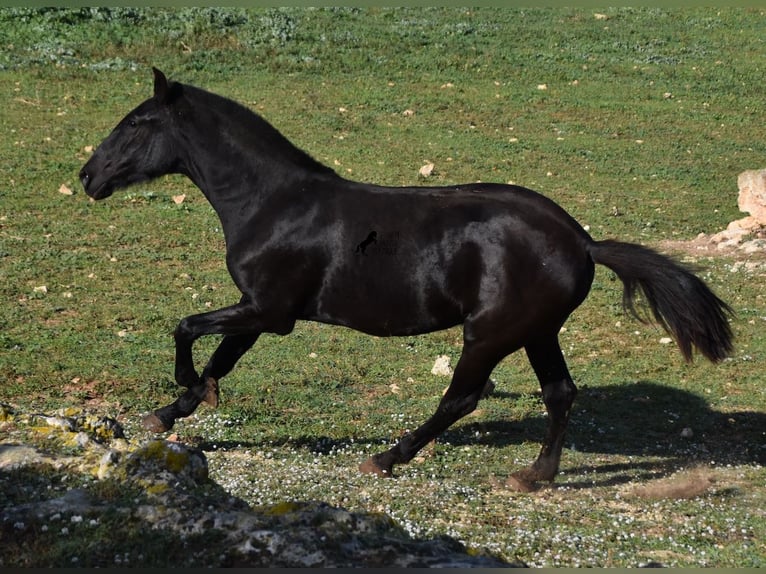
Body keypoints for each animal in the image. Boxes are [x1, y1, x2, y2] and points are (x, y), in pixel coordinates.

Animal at [81, 70, 736, 492]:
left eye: (137, 123)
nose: (89, 176)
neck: (275, 203)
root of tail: (583, 242)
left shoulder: (272, 311)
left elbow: (188, 328)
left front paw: (182, 392)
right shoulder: (258, 309)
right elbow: (222, 356)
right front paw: (174, 411)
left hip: (491, 334)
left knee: (462, 398)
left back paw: (387, 458)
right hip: (536, 331)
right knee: (559, 393)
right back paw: (535, 476)